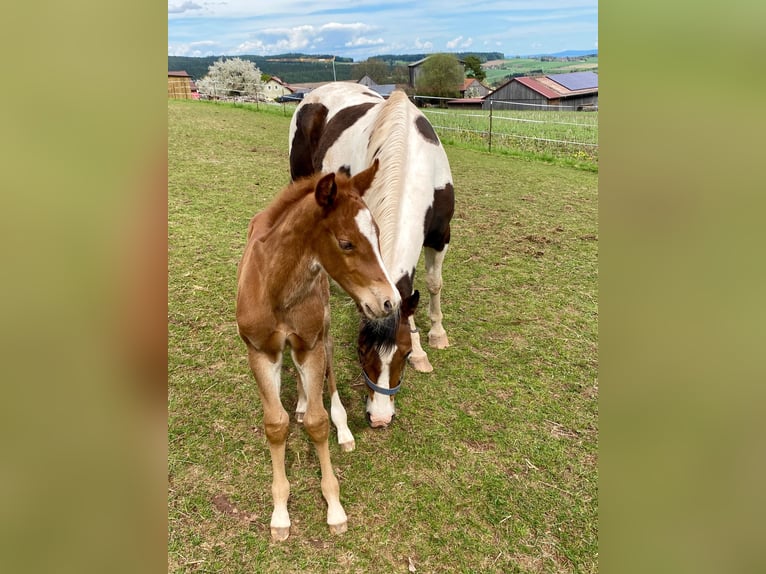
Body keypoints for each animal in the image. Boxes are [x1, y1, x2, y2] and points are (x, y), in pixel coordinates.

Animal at [235, 160, 400, 541]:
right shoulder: (260, 352)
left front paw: (334, 508)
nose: (390, 302)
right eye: (346, 243)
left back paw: (343, 428)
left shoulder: (310, 346)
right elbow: (275, 424)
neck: (276, 288)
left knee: (330, 379)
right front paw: (280, 514)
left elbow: (318, 421)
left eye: (378, 235)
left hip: (322, 330)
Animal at [288, 82, 455, 429]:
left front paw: (432, 338)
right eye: (361, 350)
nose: (379, 418)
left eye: (403, 354)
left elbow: (433, 284)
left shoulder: (440, 236)